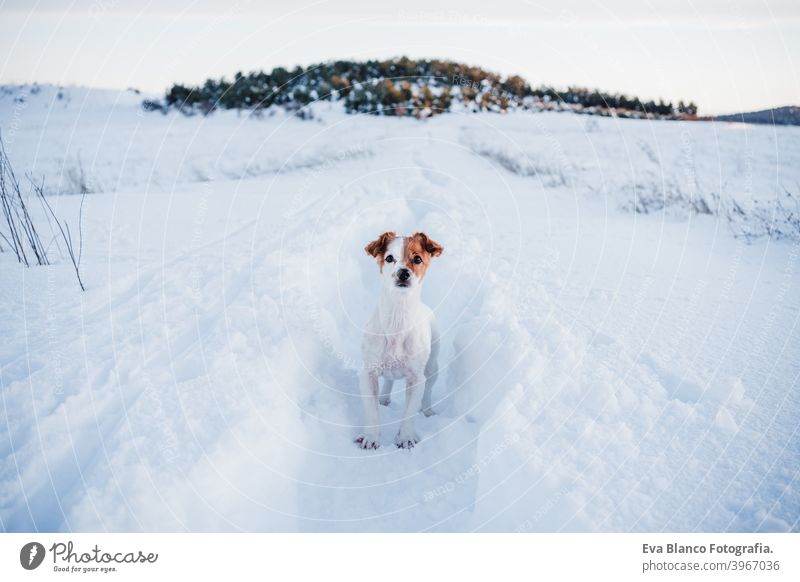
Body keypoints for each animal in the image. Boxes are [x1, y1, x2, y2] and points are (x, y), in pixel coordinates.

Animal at [356, 233, 444, 452]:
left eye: (417, 259)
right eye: (389, 258)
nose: (403, 273)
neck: (398, 316)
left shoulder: (416, 379)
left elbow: (409, 413)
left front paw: (405, 438)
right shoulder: (368, 374)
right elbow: (371, 412)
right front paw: (371, 437)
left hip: (432, 368)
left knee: (427, 393)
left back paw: (428, 411)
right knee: (388, 381)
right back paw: (384, 399)